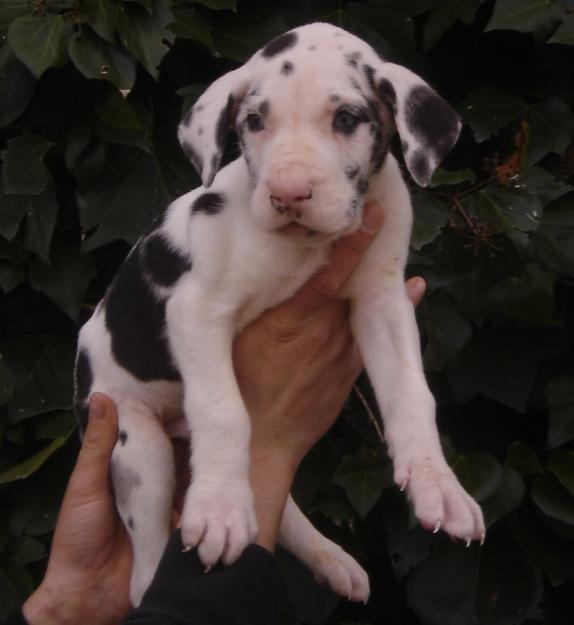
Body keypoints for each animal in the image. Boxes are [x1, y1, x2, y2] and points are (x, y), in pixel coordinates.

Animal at [73, 23, 486, 604]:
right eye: (253, 122)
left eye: (347, 119)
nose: (289, 194)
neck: (303, 248)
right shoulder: (196, 310)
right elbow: (224, 410)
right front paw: (220, 510)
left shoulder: (383, 302)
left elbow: (411, 395)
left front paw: (438, 484)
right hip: (136, 446)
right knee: (145, 563)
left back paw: (331, 559)